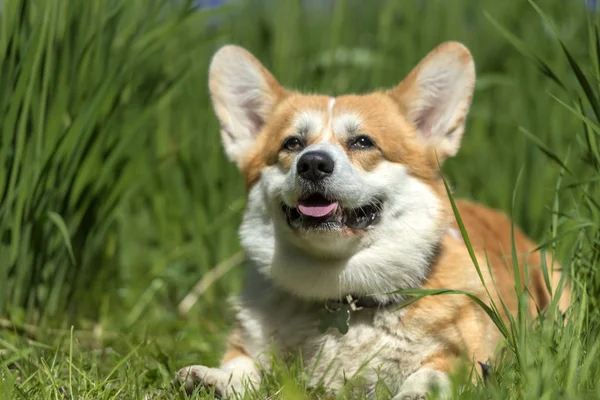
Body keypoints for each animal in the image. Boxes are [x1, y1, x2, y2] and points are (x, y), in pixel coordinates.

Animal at [176, 42, 568, 398]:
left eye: (363, 142)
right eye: (292, 144)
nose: (313, 163)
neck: (342, 293)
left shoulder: (462, 356)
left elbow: (432, 373)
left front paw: (416, 392)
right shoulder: (249, 346)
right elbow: (241, 364)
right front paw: (214, 378)